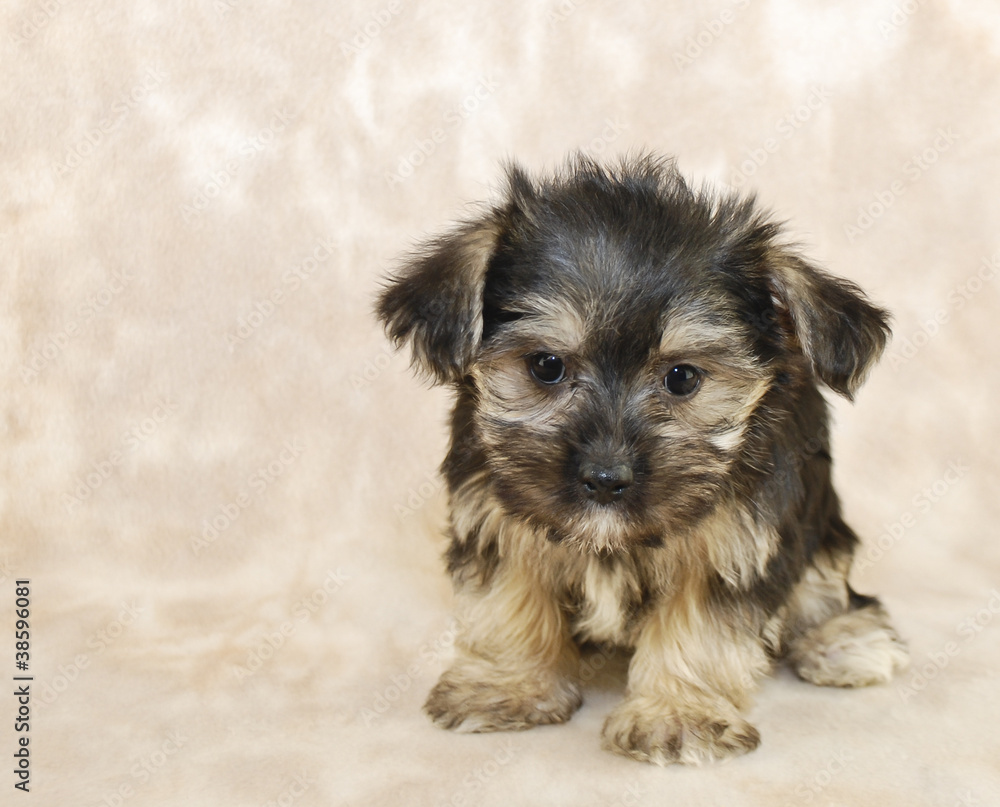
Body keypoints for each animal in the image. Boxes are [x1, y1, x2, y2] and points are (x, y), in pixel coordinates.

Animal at [376, 155, 908, 768]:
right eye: (546, 366)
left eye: (682, 377)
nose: (606, 480)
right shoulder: (495, 513)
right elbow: (507, 597)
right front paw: (509, 685)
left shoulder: (732, 546)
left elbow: (699, 628)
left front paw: (677, 714)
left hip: (821, 527)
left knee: (828, 584)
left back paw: (844, 641)